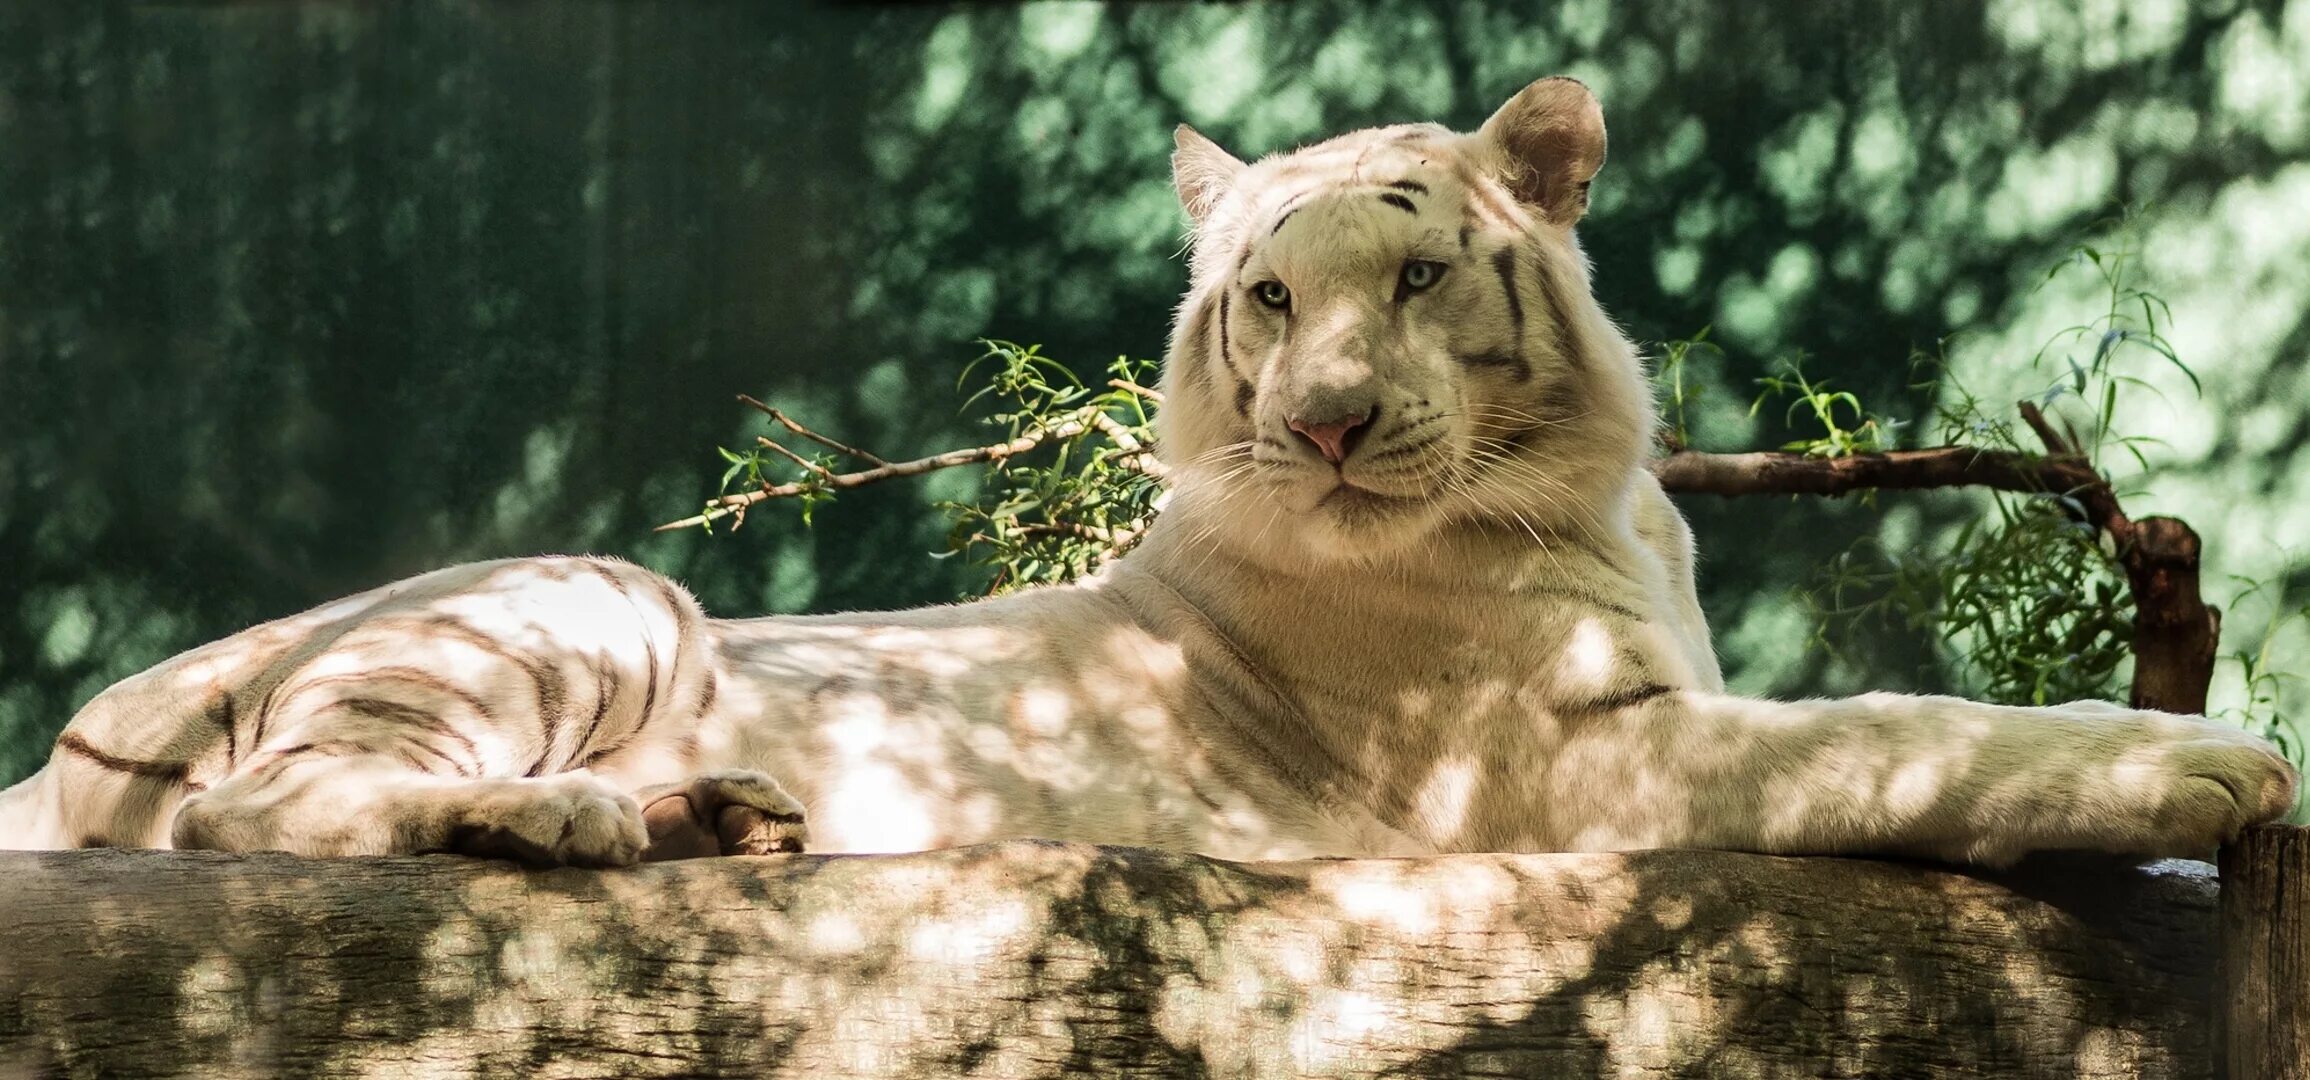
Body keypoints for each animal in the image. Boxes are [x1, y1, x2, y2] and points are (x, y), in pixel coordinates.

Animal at [0, 76, 2291, 867]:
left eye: (1417, 270)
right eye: (1267, 300)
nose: (1332, 422)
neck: (1590, 491)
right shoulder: (1580, 764)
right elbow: (1904, 731)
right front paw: (2208, 761)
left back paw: (705, 814)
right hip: (591, 592)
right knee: (244, 817)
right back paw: (560, 825)